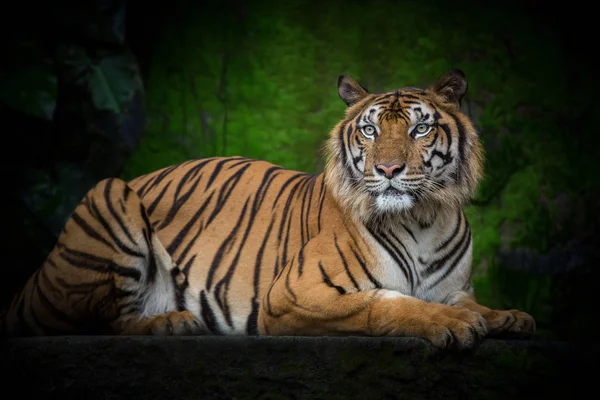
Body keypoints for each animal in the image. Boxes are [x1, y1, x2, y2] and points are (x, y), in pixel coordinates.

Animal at [0, 69, 536, 350]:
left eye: (420, 129)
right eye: (369, 130)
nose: (387, 169)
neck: (423, 218)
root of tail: (30, 282)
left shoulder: (456, 288)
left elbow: (470, 303)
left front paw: (506, 316)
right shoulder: (295, 294)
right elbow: (388, 304)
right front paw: (449, 325)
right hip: (110, 195)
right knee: (101, 322)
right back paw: (170, 322)